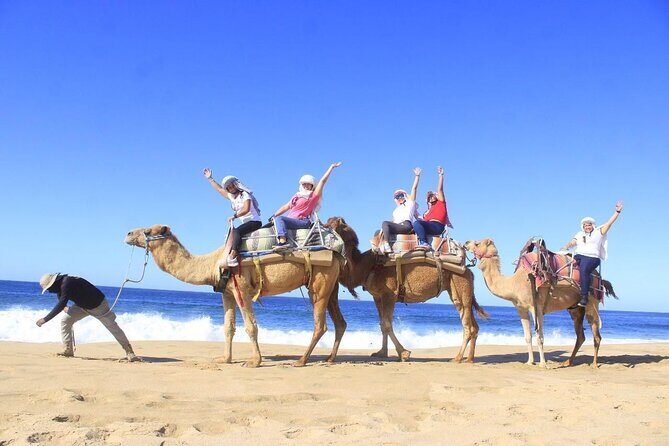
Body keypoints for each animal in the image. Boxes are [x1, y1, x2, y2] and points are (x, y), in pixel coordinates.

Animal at [124, 224, 346, 367]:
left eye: (147, 231)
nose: (127, 233)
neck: (214, 264)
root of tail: (337, 251)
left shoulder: (243, 289)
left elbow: (251, 326)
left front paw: (254, 361)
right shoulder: (227, 293)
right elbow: (228, 327)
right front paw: (225, 359)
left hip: (319, 283)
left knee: (320, 324)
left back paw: (301, 360)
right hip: (332, 285)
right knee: (340, 322)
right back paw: (329, 359)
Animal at [326, 217, 488, 363]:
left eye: (337, 224)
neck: (366, 265)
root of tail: (468, 269)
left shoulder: (389, 294)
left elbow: (387, 324)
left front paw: (404, 353)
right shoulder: (377, 296)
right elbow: (382, 324)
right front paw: (381, 353)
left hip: (459, 283)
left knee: (468, 325)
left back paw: (458, 358)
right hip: (460, 289)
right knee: (474, 325)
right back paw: (469, 359)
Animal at [464, 238, 616, 368]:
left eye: (477, 243)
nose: (466, 243)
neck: (514, 283)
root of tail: (601, 279)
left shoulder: (536, 306)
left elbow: (540, 336)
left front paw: (543, 364)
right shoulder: (521, 309)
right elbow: (528, 336)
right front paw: (529, 362)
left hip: (591, 301)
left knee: (596, 333)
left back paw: (594, 364)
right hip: (575, 309)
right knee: (581, 336)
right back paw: (568, 362)